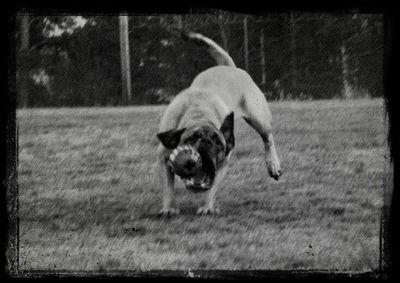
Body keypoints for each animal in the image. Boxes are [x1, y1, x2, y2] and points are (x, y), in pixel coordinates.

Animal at [156, 32, 282, 216]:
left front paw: (207, 206)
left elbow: (212, 188)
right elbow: (168, 188)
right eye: (192, 138)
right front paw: (169, 208)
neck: (199, 114)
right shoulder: (163, 159)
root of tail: (229, 67)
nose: (206, 143)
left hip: (259, 117)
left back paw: (273, 165)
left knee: (268, 139)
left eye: (217, 141)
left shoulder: (222, 163)